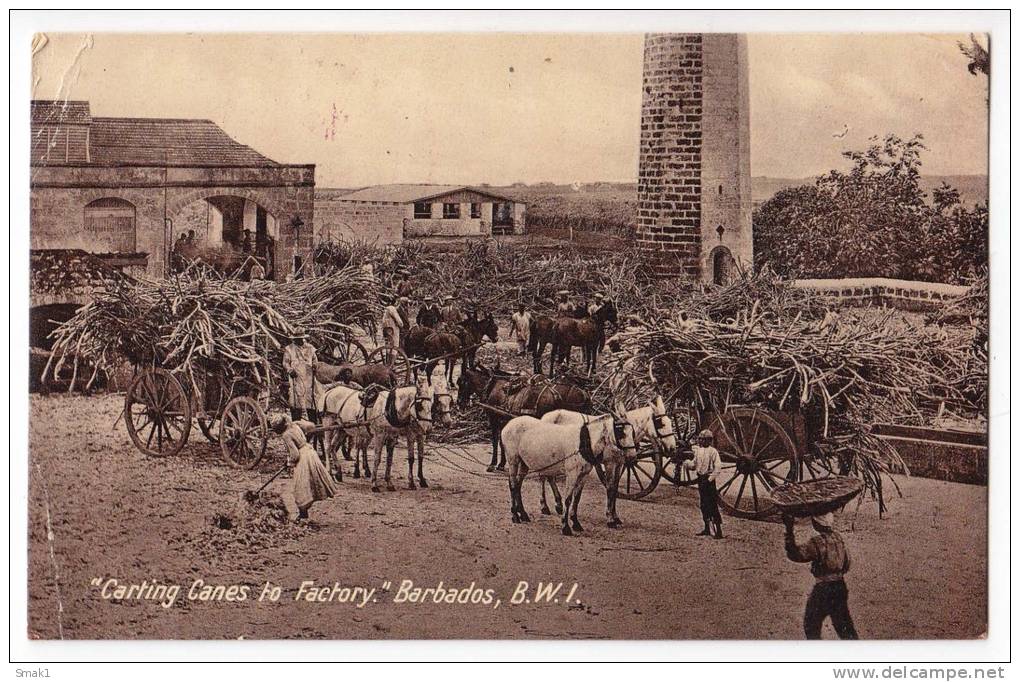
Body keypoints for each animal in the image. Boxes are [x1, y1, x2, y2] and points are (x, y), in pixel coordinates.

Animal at [501, 411, 636, 534]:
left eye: (633, 431)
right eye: (620, 430)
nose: (633, 456)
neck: (584, 441)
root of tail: (508, 424)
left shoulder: (583, 475)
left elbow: (577, 499)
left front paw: (576, 523)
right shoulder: (572, 474)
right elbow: (568, 499)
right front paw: (565, 527)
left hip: (524, 463)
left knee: (518, 485)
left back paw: (523, 514)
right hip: (513, 460)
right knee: (513, 485)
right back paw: (515, 516)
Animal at [542, 395, 677, 530]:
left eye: (670, 422)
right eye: (661, 424)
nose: (672, 448)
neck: (615, 435)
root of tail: (546, 416)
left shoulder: (619, 464)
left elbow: (615, 488)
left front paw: (615, 517)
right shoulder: (609, 463)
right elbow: (610, 487)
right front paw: (610, 519)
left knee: (549, 476)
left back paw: (557, 504)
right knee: (544, 477)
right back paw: (545, 506)